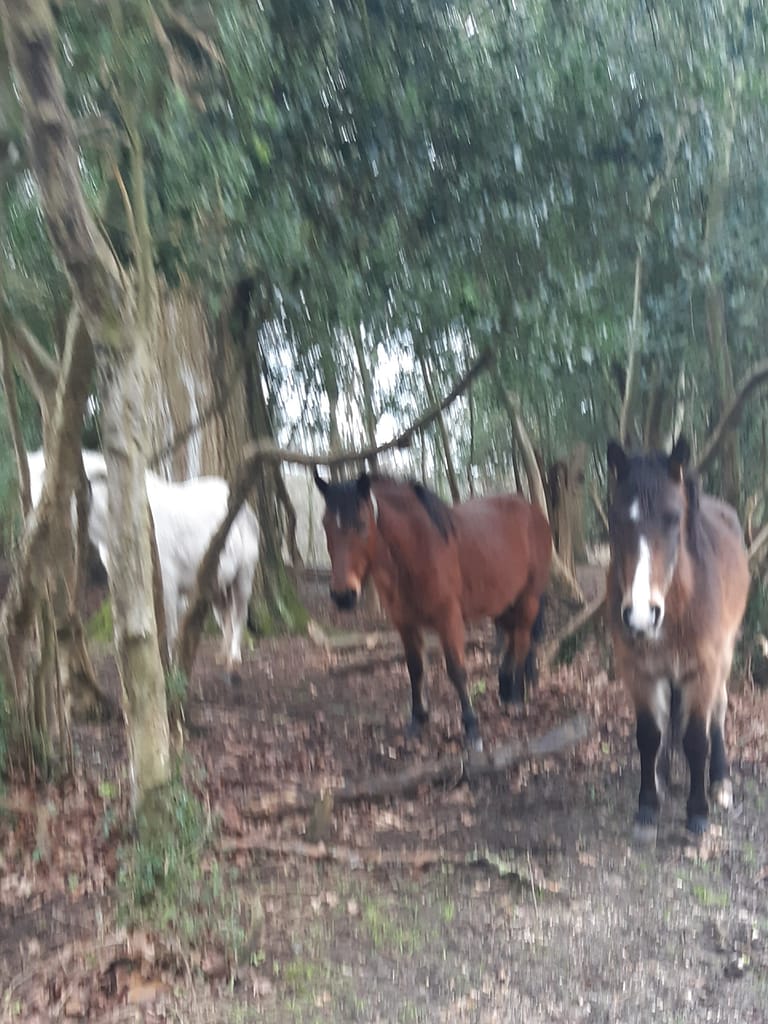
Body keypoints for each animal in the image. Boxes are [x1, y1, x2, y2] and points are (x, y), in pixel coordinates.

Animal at [313, 471, 552, 749]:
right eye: (325, 525)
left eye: (362, 524)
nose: (343, 595)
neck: (418, 549)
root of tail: (534, 513)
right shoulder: (405, 623)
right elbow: (415, 669)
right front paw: (417, 721)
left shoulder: (448, 618)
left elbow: (456, 670)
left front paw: (471, 727)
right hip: (504, 602)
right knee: (514, 639)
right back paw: (506, 690)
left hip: (529, 598)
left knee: (523, 639)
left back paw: (515, 698)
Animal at [606, 437, 750, 838]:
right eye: (616, 520)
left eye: (673, 517)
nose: (640, 614)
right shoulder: (638, 670)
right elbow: (648, 734)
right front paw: (647, 806)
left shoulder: (703, 669)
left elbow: (696, 739)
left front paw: (697, 813)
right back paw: (662, 775)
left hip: (724, 657)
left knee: (718, 711)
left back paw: (719, 782)